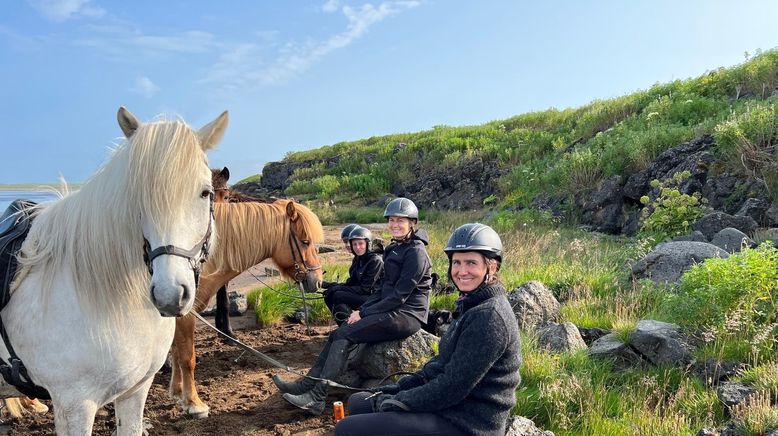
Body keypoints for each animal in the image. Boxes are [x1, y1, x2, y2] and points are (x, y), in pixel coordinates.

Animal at [168, 199, 322, 418]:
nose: (318, 281)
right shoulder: (185, 315)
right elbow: (187, 358)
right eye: (305, 241)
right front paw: (194, 404)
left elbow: (175, 352)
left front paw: (177, 392)